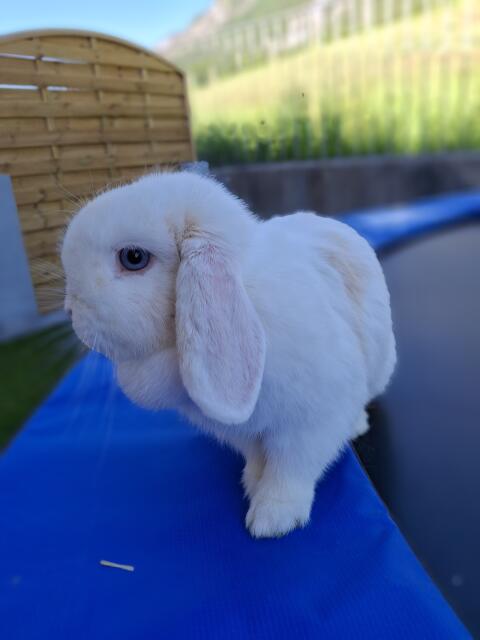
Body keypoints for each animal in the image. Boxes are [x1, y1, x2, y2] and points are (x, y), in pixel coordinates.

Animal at [61, 170, 396, 538]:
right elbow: (258, 457)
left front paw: (271, 519)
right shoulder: (243, 431)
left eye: (133, 258)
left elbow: (290, 469)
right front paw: (251, 481)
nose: (70, 310)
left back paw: (356, 425)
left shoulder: (310, 423)